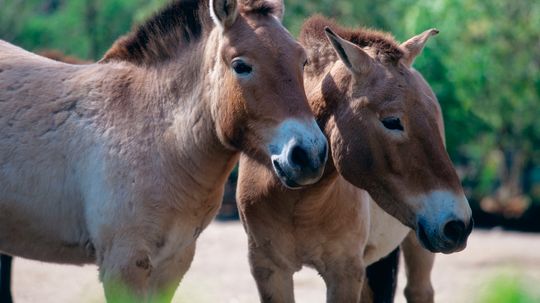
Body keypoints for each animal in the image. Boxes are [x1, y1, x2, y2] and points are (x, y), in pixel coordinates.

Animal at [0, 0, 330, 302]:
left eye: (302, 61)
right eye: (241, 66)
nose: (309, 155)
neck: (155, 140)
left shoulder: (172, 263)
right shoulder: (122, 265)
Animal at [237, 15, 472, 302]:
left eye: (432, 118)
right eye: (392, 121)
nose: (459, 225)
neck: (298, 201)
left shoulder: (345, 272)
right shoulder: (269, 270)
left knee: (419, 291)